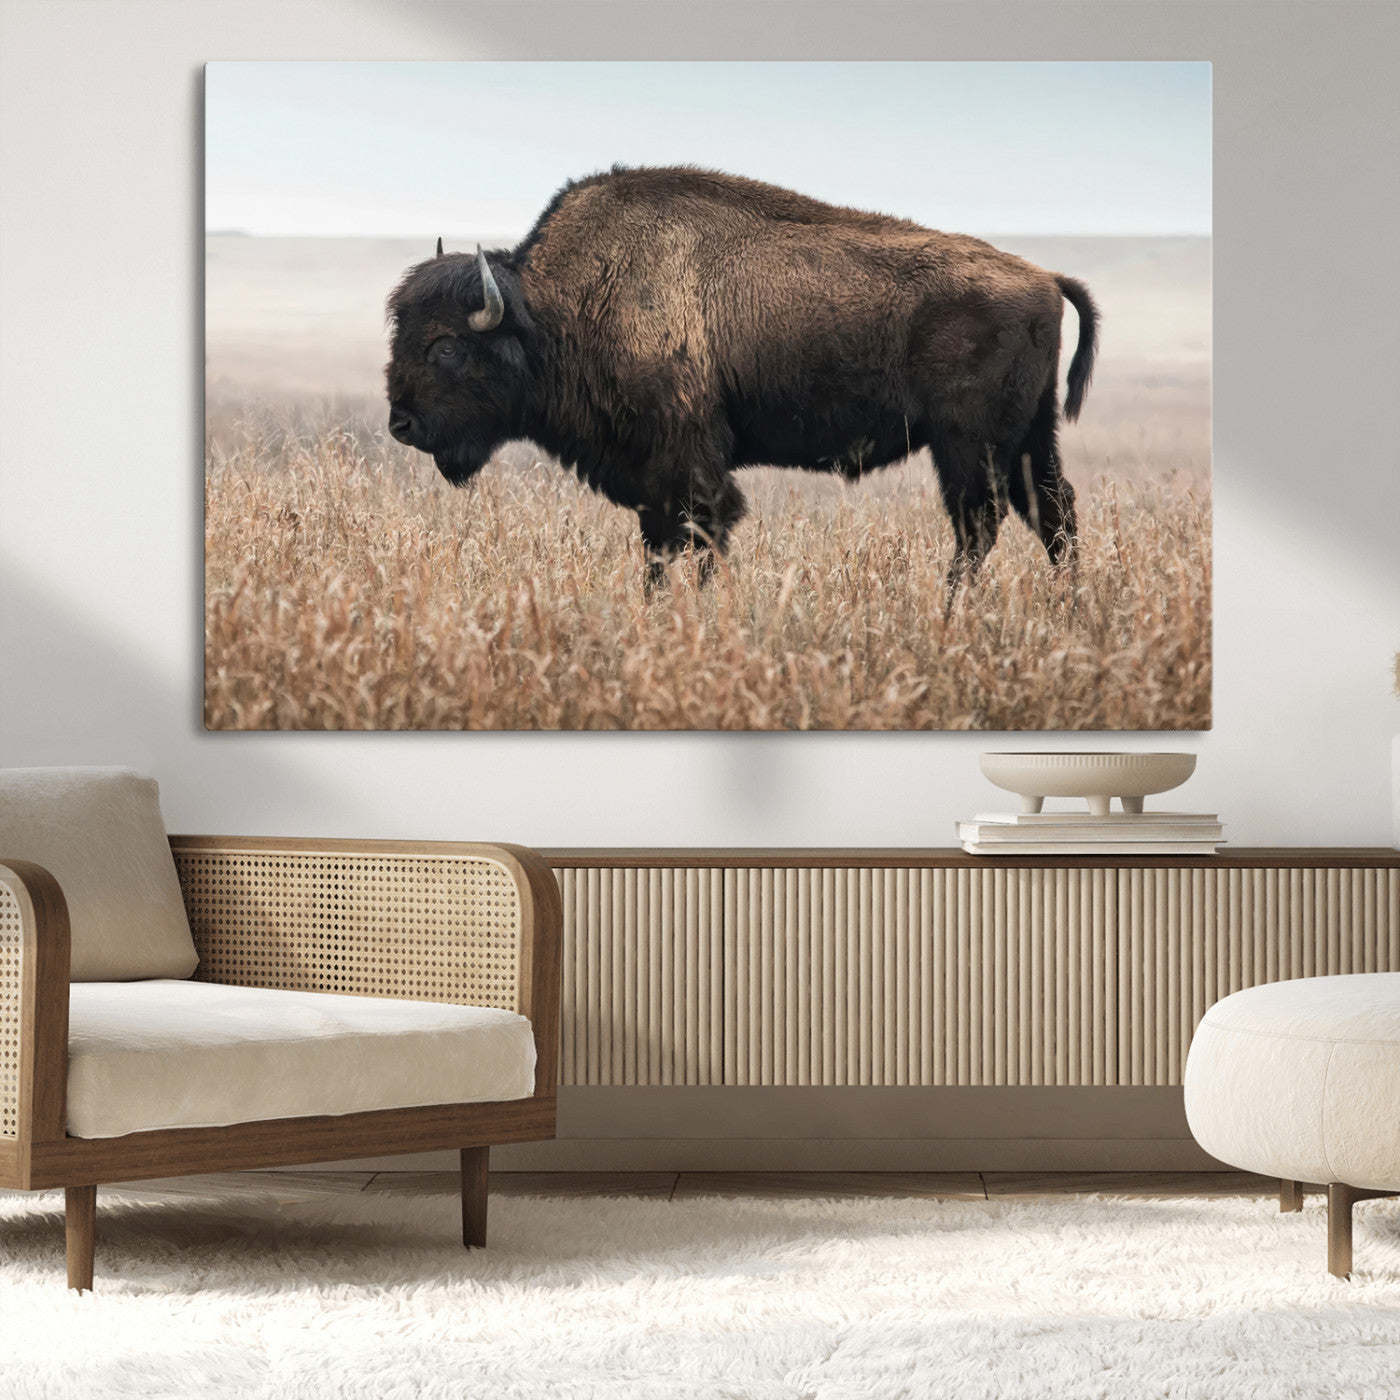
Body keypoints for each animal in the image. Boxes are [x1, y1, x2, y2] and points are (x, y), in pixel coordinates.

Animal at [386, 165, 1097, 587]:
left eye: (446, 348)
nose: (402, 425)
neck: (556, 309)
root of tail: (1043, 277)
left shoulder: (689, 465)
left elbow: (701, 535)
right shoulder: (652, 480)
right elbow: (659, 548)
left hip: (968, 444)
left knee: (980, 523)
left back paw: (952, 612)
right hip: (1028, 438)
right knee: (1052, 513)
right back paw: (1067, 609)